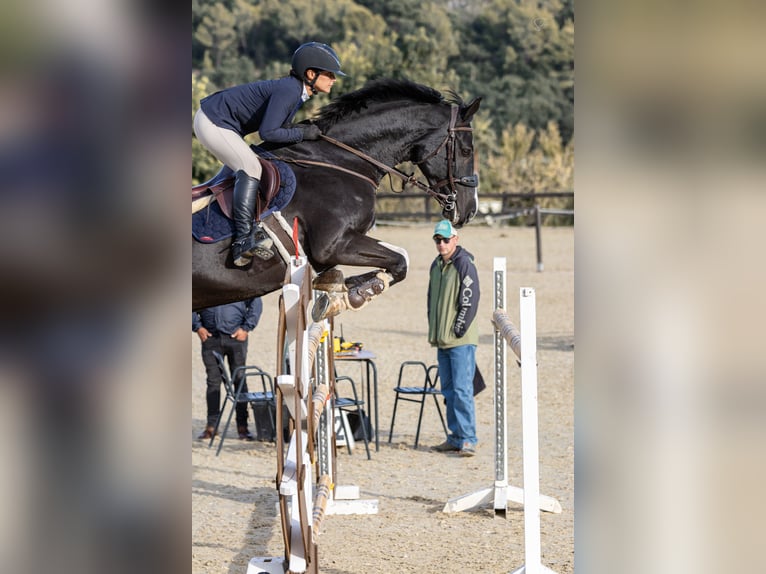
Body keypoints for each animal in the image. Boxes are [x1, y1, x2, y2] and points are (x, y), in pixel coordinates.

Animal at [193, 78, 481, 320]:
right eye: (467, 151)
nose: (470, 210)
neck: (341, 160)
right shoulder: (333, 245)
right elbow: (399, 261)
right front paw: (355, 294)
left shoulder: (343, 243)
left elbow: (401, 256)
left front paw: (342, 288)